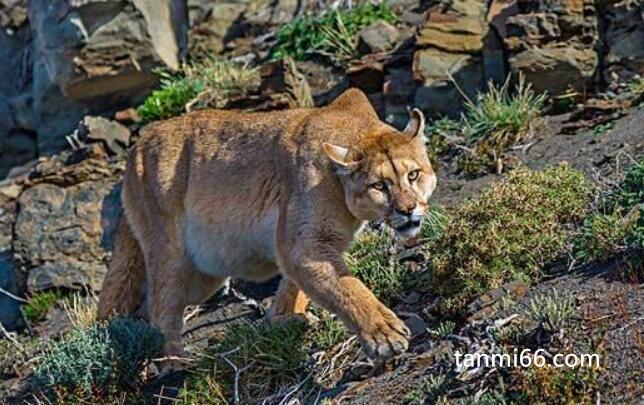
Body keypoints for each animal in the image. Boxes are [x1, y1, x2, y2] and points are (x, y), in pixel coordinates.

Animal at [97, 88, 438, 366]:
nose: (407, 209)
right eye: (379, 185)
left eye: (413, 175)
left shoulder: (311, 245)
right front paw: (384, 334)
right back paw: (174, 365)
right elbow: (346, 288)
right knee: (160, 306)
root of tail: (139, 144)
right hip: (170, 251)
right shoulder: (305, 244)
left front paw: (283, 318)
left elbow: (301, 283)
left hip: (203, 276)